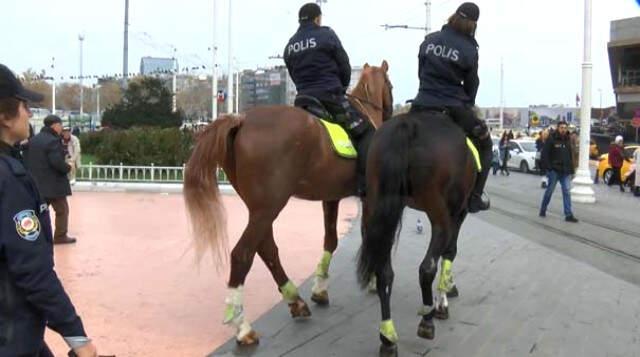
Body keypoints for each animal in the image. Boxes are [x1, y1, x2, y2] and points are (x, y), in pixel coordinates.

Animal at [184, 61, 396, 344]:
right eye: (390, 85)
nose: (391, 112)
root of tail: (241, 120)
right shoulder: (369, 198)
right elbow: (369, 236)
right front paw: (373, 279)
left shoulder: (330, 197)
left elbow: (331, 240)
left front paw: (320, 288)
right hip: (269, 206)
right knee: (243, 254)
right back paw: (243, 326)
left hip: (260, 207)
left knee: (267, 249)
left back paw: (295, 299)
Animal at [358, 110, 478, 354]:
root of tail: (409, 125)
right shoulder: (458, 213)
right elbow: (450, 252)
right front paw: (443, 299)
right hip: (439, 213)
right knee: (427, 267)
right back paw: (427, 317)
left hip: (378, 205)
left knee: (384, 272)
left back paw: (387, 336)